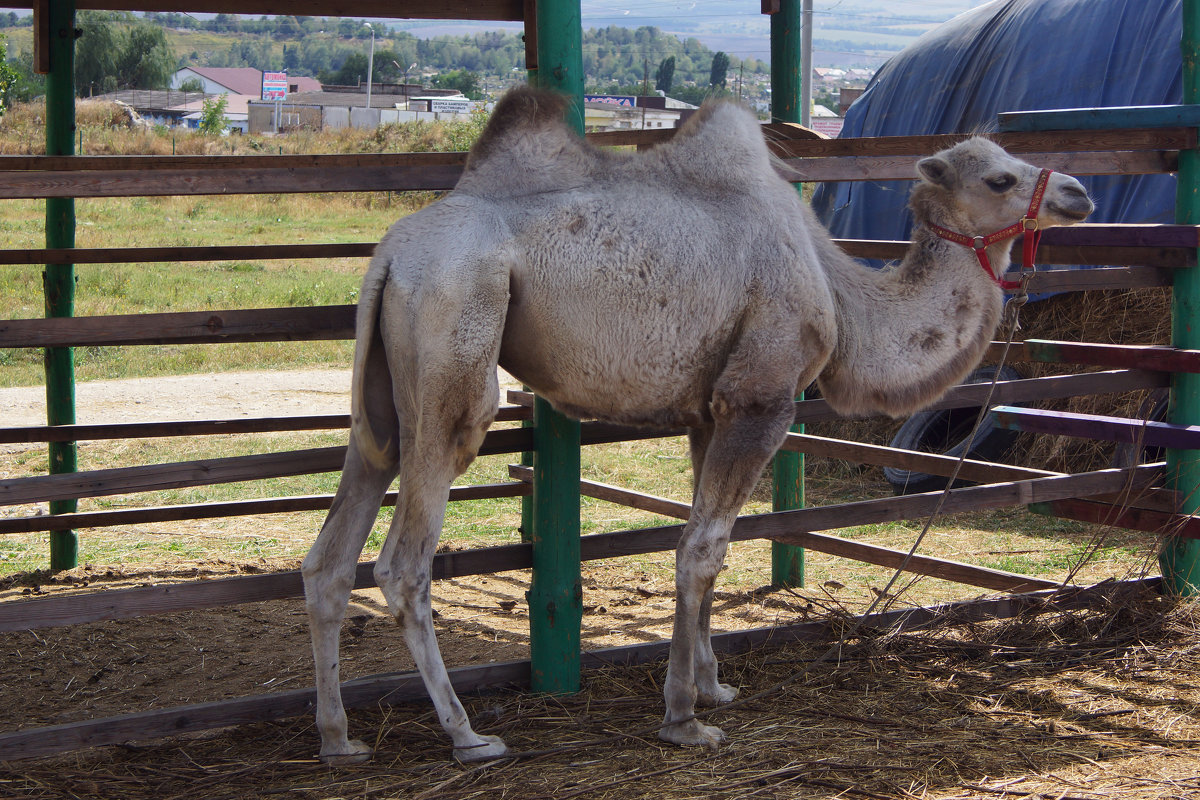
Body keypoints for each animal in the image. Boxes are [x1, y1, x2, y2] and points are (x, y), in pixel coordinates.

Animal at [302, 87, 1099, 762]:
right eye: (998, 178)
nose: (1079, 192)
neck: (840, 293)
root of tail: (392, 253)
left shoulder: (709, 410)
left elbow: (709, 542)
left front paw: (714, 684)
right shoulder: (761, 397)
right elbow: (701, 549)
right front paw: (683, 716)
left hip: (383, 390)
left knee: (331, 551)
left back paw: (339, 738)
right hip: (454, 340)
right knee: (403, 561)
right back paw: (466, 735)